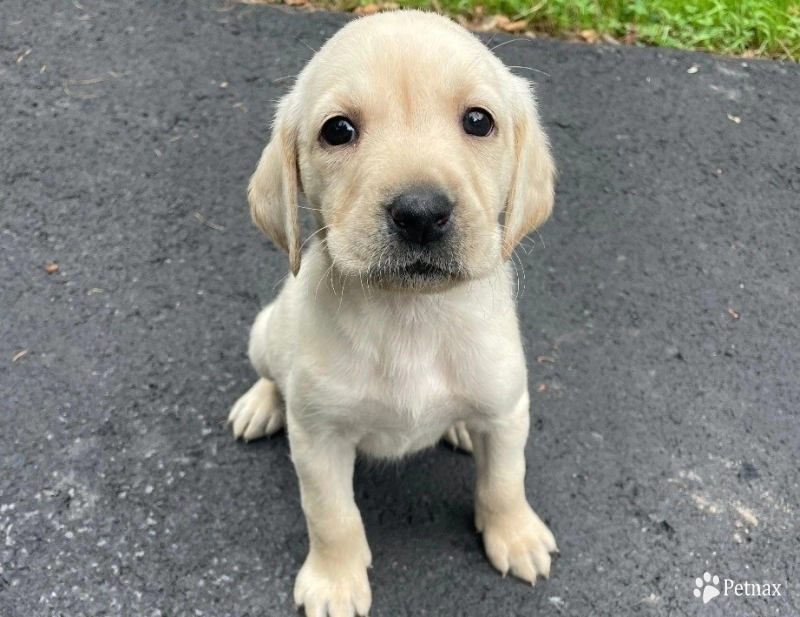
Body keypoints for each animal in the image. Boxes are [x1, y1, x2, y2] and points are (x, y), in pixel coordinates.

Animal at [228, 10, 556, 616]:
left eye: (479, 121)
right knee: (271, 374)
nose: (421, 212)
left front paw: (515, 534)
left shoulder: (507, 408)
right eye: (337, 130)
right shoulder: (318, 440)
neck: (411, 316)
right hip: (264, 331)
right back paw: (260, 404)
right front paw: (335, 581)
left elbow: (505, 480)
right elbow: (331, 516)